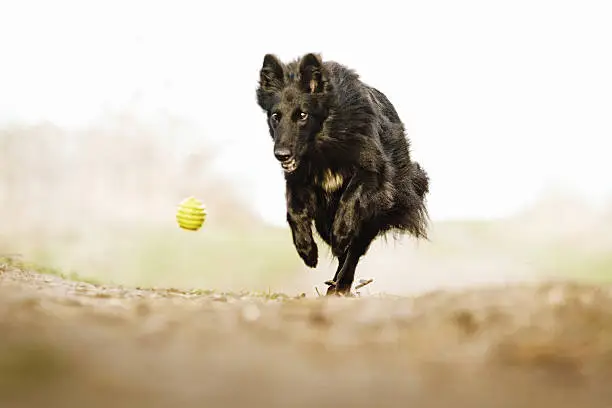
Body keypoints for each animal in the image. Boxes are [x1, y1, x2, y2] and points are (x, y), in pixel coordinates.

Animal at [256, 52, 428, 294]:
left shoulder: (373, 173)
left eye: (302, 115)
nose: (281, 155)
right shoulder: (299, 181)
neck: (327, 139)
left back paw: (342, 284)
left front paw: (341, 234)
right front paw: (306, 250)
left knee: (354, 249)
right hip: (323, 218)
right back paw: (334, 284)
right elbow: (294, 212)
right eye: (275, 116)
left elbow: (350, 197)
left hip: (374, 213)